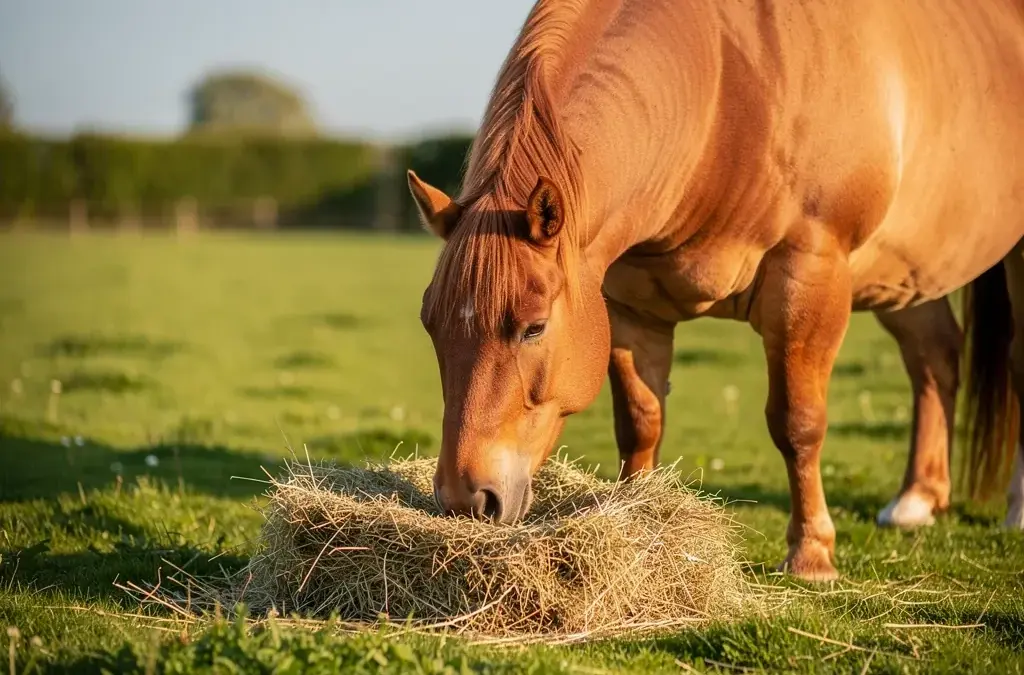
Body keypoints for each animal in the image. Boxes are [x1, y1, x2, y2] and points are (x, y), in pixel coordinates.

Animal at [406, 0, 1024, 580]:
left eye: (534, 327)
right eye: (430, 326)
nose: (466, 499)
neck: (729, 86)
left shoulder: (810, 274)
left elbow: (798, 423)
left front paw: (812, 554)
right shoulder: (629, 307)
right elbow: (640, 421)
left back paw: (1014, 511)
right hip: (907, 268)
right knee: (934, 355)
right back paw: (918, 500)